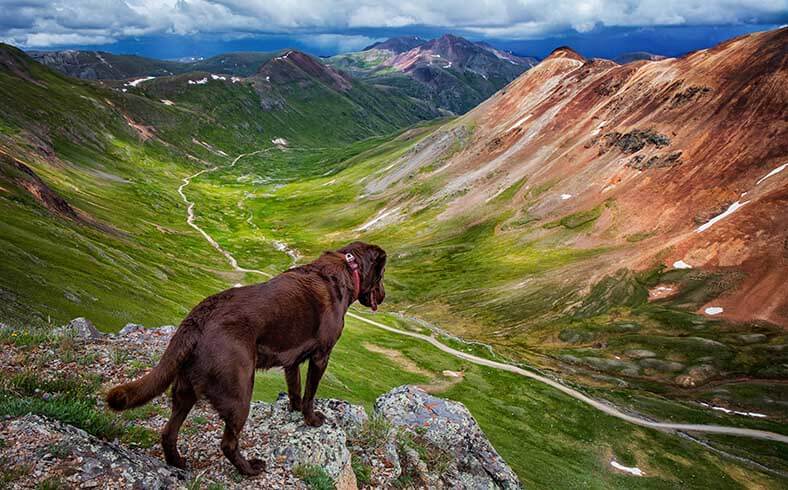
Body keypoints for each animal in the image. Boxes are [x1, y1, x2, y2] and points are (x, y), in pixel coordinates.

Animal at [106, 241, 386, 474]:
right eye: (382, 276)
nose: (384, 296)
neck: (348, 267)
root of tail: (198, 317)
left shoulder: (292, 360)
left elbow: (294, 388)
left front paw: (294, 409)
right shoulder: (321, 356)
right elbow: (309, 394)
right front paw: (312, 419)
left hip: (185, 390)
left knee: (168, 432)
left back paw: (178, 463)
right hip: (239, 391)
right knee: (228, 443)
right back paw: (249, 469)